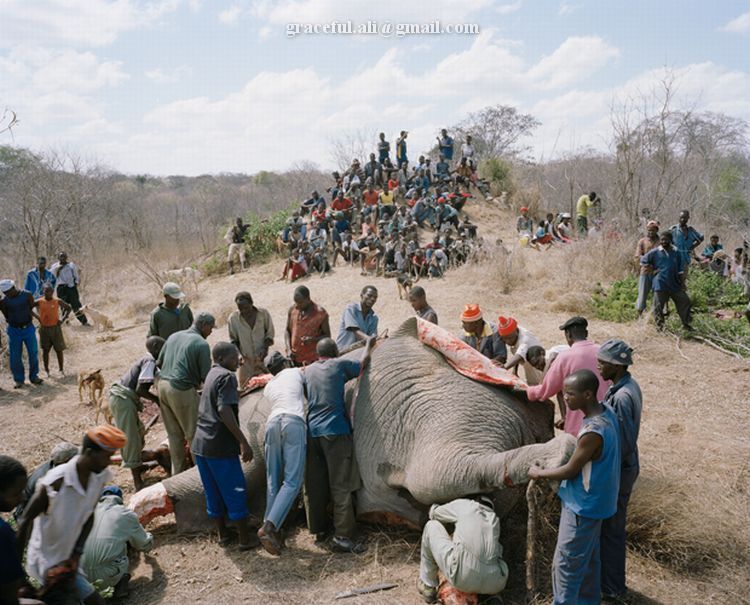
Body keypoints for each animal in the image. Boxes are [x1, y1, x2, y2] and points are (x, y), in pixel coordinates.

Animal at [139, 317, 575, 532]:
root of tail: (532, 416)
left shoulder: (251, 427)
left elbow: (238, 473)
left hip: (445, 406)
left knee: (435, 474)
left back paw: (563, 454)